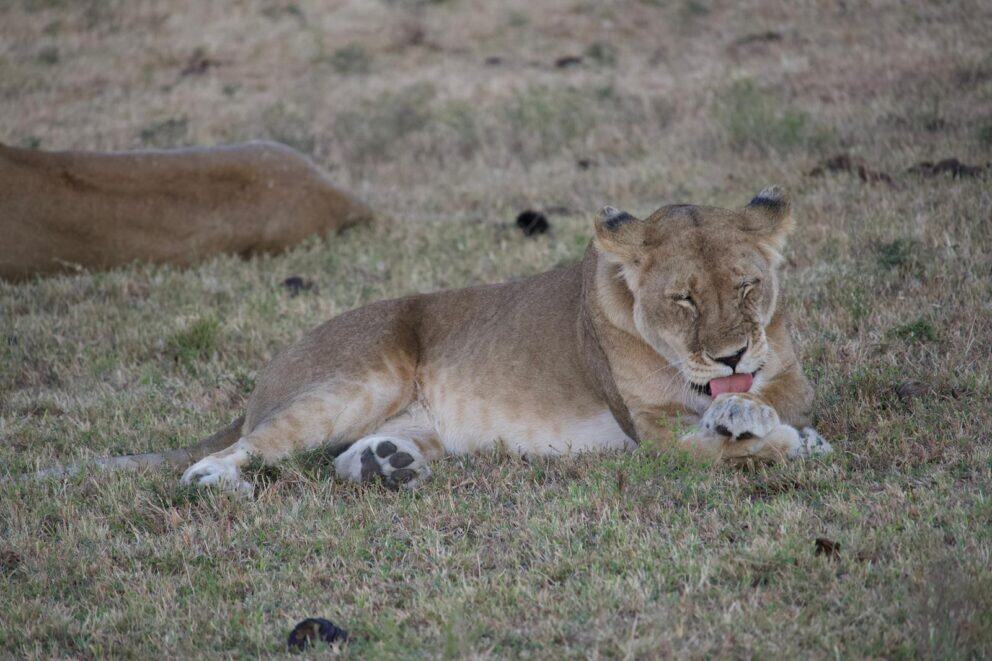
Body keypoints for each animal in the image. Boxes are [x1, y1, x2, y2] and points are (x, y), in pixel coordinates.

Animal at [29, 187, 831, 488]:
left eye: (748, 286)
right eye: (683, 299)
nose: (731, 354)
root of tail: (264, 379)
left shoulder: (788, 374)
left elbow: (780, 403)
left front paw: (761, 415)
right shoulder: (653, 436)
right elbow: (736, 442)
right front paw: (774, 437)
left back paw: (386, 463)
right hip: (362, 375)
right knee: (236, 453)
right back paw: (219, 480)